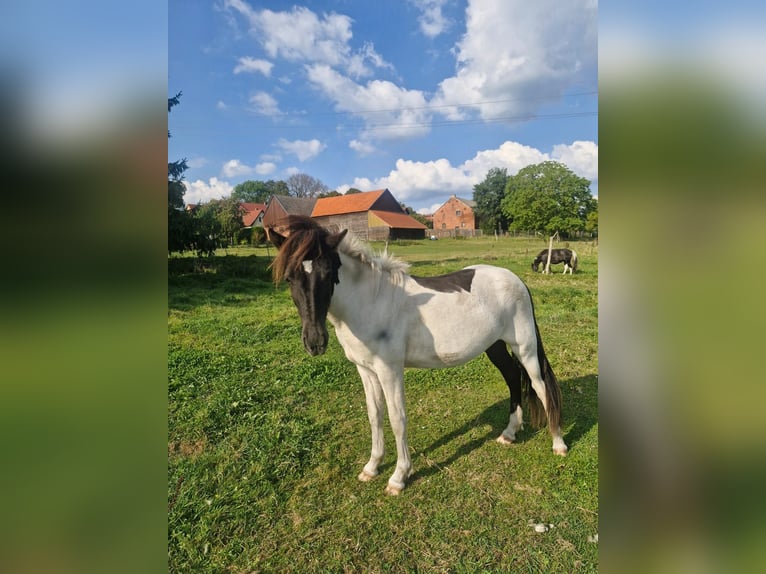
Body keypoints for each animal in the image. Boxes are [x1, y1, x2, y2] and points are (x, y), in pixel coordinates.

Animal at [268, 216, 568, 495]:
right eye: (290, 278)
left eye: (329, 273)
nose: (315, 342)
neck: (370, 302)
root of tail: (516, 280)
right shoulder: (365, 370)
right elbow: (374, 415)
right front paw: (372, 467)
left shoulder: (390, 370)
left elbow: (397, 419)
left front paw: (399, 477)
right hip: (494, 346)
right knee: (513, 379)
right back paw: (509, 433)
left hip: (525, 348)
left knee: (540, 387)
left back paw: (558, 443)